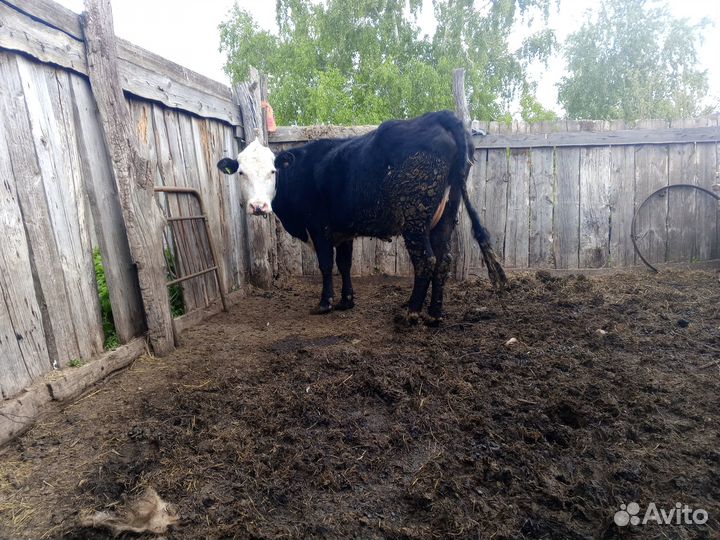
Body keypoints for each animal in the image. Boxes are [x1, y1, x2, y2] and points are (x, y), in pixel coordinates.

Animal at [217, 110, 506, 323]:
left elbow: (326, 265)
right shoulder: (343, 231)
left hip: (415, 218)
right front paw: (347, 301)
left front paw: (325, 303)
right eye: (241, 172)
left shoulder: (319, 228)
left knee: (426, 261)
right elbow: (345, 265)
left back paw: (411, 313)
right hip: (444, 217)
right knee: (443, 260)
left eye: (273, 171)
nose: (258, 206)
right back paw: (435, 314)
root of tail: (439, 116)